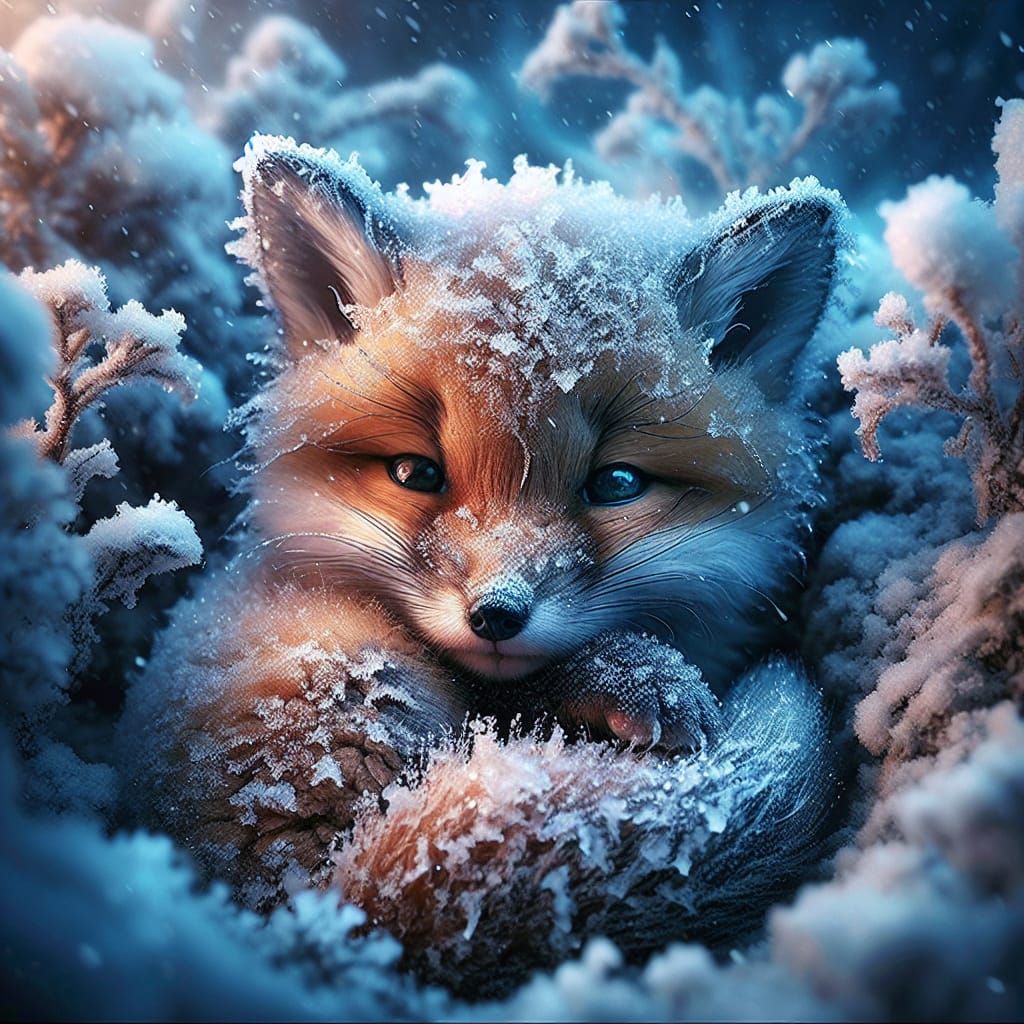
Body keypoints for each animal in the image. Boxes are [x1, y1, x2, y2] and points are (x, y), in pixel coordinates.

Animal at [120, 136, 843, 980]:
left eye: (617, 483)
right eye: (415, 473)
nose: (496, 615)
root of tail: (322, 915)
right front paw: (634, 678)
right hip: (360, 681)